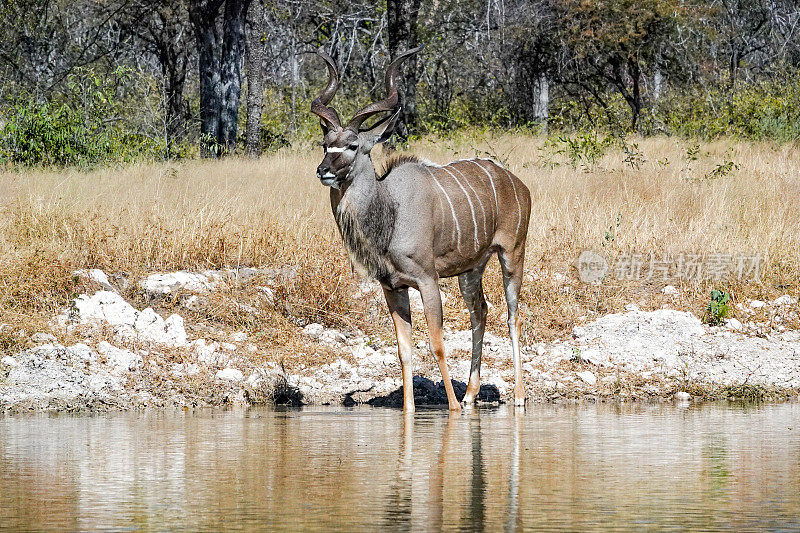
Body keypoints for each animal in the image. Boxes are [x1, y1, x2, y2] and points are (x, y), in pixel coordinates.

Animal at [312, 46, 532, 412]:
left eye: (353, 145)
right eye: (325, 144)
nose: (323, 171)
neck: (389, 212)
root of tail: (519, 184)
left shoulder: (427, 280)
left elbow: (436, 343)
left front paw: (453, 408)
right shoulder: (393, 287)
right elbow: (404, 350)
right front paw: (412, 410)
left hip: (512, 254)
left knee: (512, 316)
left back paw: (516, 397)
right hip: (471, 269)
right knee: (480, 312)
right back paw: (471, 394)